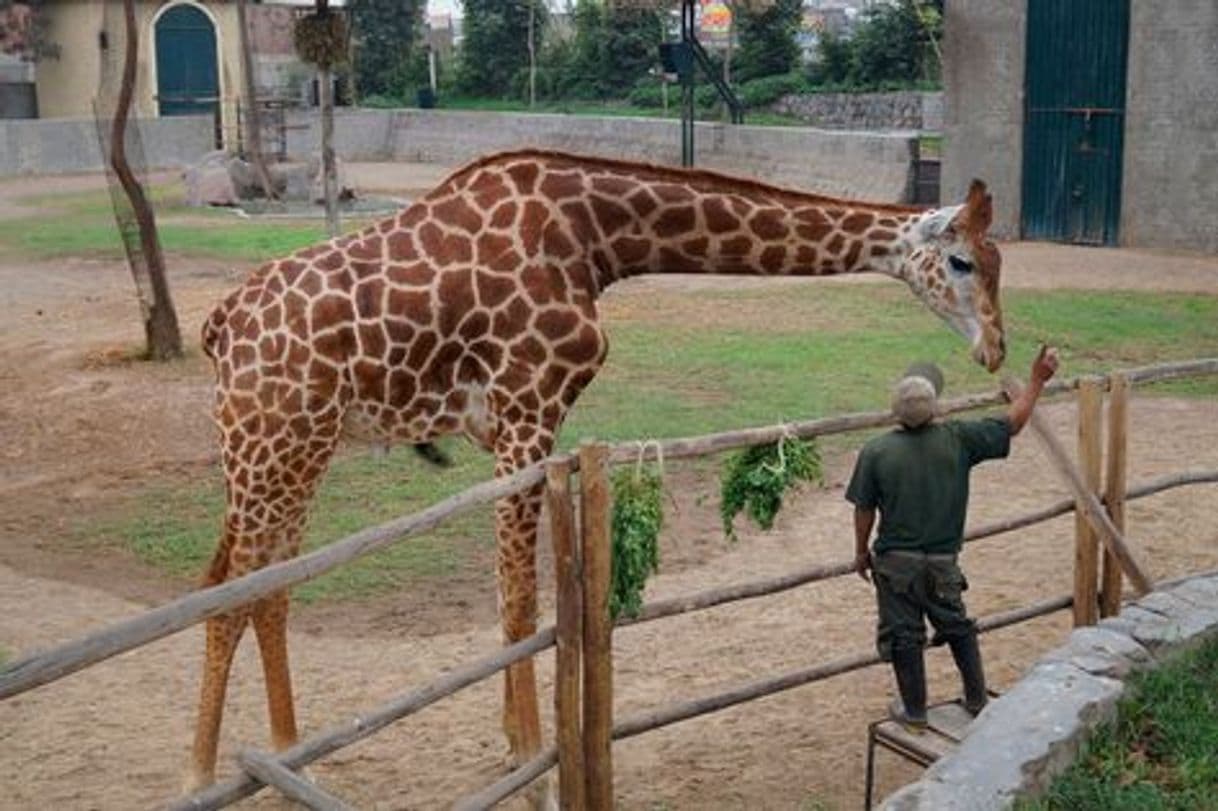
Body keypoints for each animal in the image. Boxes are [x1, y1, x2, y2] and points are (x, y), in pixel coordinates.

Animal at [190, 149, 1003, 789]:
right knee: (228, 595)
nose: (995, 349)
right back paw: (201, 773)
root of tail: (221, 324)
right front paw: (524, 749)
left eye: (998, 264)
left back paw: (289, 750)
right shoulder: (526, 407)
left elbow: (522, 596)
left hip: (293, 447)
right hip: (272, 441)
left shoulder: (528, 424)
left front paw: (517, 736)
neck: (597, 238)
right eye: (961, 260)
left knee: (258, 587)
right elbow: (520, 600)